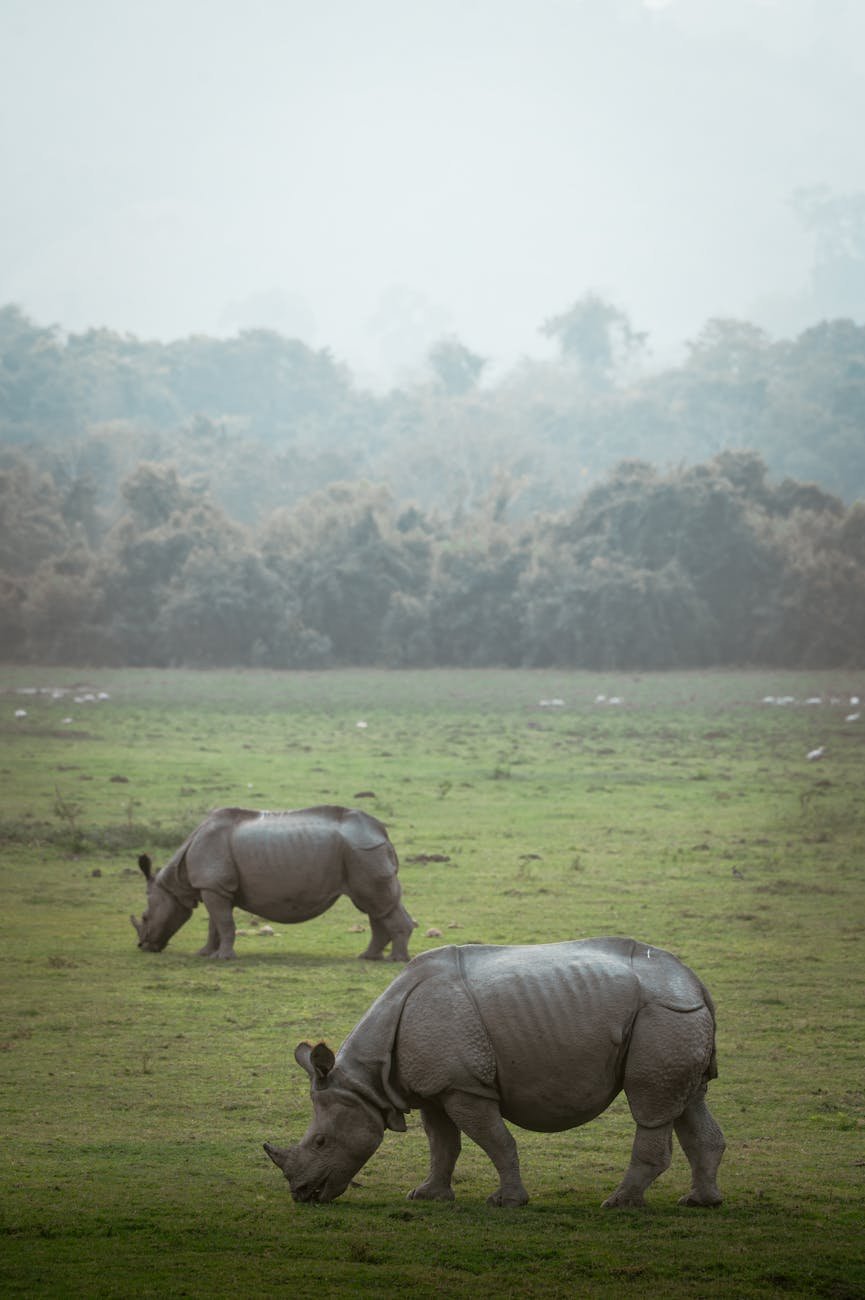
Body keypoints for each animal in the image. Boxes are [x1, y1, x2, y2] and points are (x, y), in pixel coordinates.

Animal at [130, 805, 414, 962]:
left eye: (144, 917)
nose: (143, 946)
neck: (174, 882)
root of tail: (381, 831)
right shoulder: (214, 886)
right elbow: (215, 924)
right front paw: (205, 954)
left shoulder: (213, 886)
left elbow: (224, 923)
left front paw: (223, 959)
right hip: (363, 853)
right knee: (376, 906)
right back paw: (369, 958)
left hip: (363, 852)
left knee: (376, 903)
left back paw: (396, 961)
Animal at [264, 937, 725, 1208]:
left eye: (321, 1142)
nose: (301, 1195)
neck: (367, 1082)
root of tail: (695, 982)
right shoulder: (435, 1089)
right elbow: (442, 1145)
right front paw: (427, 1196)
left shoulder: (465, 1086)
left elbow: (495, 1141)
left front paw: (507, 1202)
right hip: (678, 1015)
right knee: (688, 1103)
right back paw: (700, 1203)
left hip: (664, 1013)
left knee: (651, 1106)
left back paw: (618, 1204)